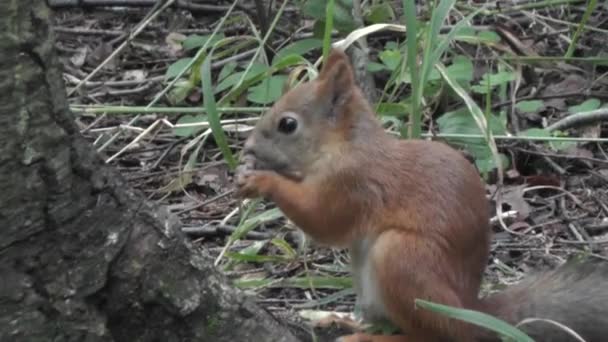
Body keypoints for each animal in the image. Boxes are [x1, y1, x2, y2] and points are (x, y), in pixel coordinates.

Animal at [235, 48, 608, 342]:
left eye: (288, 124)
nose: (248, 147)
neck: (345, 145)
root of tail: (468, 312)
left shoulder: (353, 183)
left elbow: (323, 220)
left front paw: (261, 180)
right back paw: (345, 321)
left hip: (402, 258)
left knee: (431, 336)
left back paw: (371, 339)